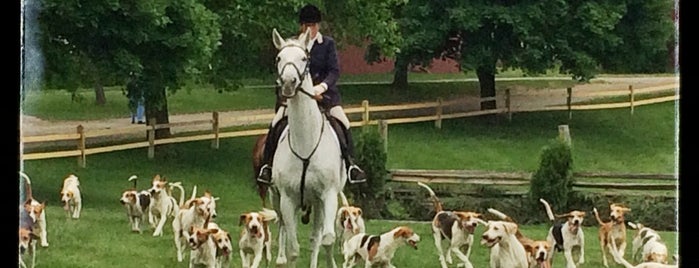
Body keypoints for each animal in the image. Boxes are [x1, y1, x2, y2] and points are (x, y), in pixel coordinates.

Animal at [270, 27, 346, 268]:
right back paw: (280, 258)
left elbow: (327, 239)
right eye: (279, 58)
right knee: (284, 228)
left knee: (317, 238)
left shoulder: (328, 195)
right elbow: (294, 248)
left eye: (304, 58)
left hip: (319, 203)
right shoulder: (287, 199)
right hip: (278, 199)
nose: (288, 82)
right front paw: (287, 257)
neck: (305, 143)